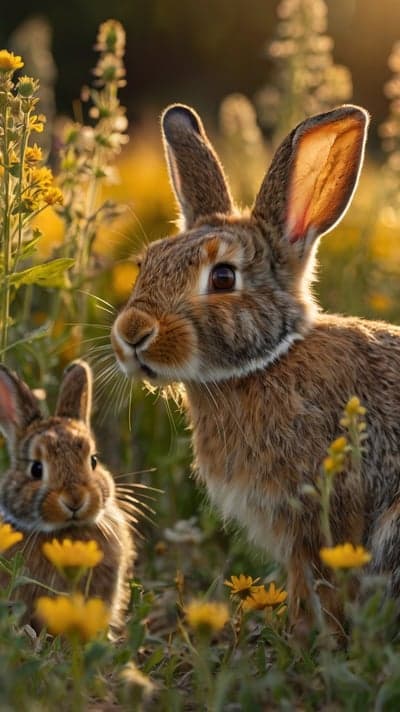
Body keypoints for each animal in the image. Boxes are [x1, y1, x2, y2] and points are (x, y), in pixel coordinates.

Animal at [111, 101, 400, 629]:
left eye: (223, 277)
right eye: (145, 264)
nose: (133, 333)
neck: (267, 362)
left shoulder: (322, 518)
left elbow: (318, 591)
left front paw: (307, 639)